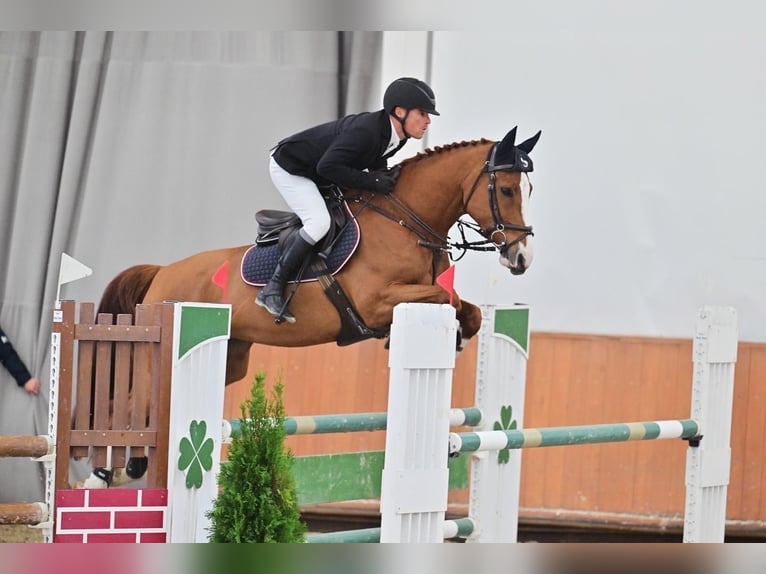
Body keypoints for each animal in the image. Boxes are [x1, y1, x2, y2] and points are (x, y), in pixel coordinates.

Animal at [97, 127, 541, 386]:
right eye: (506, 190)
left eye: (528, 189)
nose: (521, 258)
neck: (405, 221)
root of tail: (160, 273)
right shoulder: (375, 302)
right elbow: (442, 297)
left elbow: (470, 310)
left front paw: (459, 336)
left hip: (231, 357)